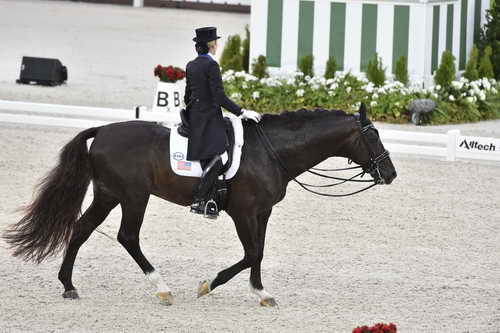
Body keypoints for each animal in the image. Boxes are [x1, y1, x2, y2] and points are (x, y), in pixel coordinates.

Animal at [1, 104, 396, 306]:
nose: (390, 173)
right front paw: (208, 285)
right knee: (128, 237)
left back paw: (68, 285)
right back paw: (162, 288)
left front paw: (262, 293)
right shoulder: (243, 212)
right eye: (373, 135)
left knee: (82, 230)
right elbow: (251, 253)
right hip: (133, 196)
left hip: (109, 194)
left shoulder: (263, 212)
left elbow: (259, 252)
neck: (271, 151)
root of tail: (103, 130)